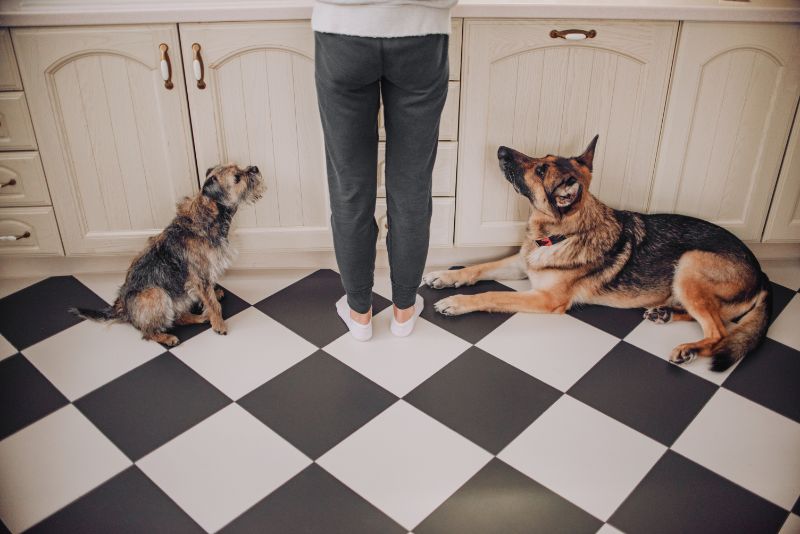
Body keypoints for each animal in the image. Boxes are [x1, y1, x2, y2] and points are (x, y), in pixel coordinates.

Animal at [70, 164, 264, 348]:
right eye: (237, 177)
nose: (254, 168)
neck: (208, 215)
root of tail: (122, 308)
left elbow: (209, 296)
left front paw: (214, 297)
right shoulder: (200, 276)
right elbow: (212, 303)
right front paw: (219, 324)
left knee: (177, 317)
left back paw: (200, 317)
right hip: (156, 294)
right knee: (148, 331)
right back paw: (168, 337)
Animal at [422, 136, 772, 372]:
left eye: (540, 169)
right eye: (543, 159)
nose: (501, 149)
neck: (561, 234)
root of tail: (763, 275)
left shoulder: (545, 299)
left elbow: (492, 294)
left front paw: (457, 303)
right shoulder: (522, 263)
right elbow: (478, 267)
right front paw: (445, 275)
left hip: (690, 262)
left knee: (719, 331)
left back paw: (689, 349)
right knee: (712, 319)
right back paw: (665, 313)